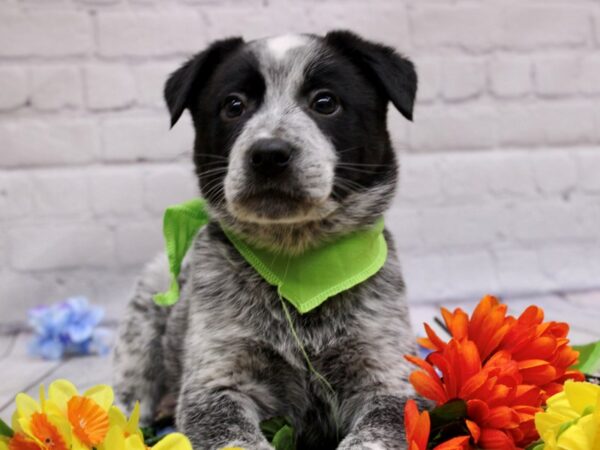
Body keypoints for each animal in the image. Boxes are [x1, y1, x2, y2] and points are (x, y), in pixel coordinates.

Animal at [115, 29, 420, 448]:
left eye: (325, 102)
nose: (269, 154)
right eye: (233, 105)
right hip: (148, 304)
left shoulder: (389, 379)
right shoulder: (215, 383)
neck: (298, 265)